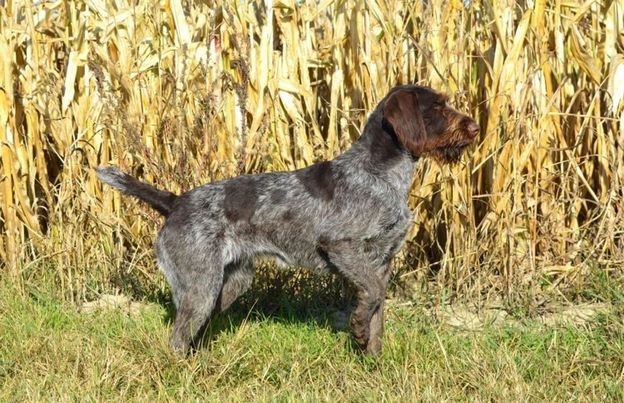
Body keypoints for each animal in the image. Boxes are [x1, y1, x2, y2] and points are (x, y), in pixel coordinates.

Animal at [96, 83, 478, 356]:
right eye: (438, 107)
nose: (475, 126)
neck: (381, 174)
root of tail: (176, 202)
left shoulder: (383, 261)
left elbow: (378, 309)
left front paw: (372, 358)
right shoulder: (341, 246)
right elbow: (370, 294)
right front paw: (357, 328)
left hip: (230, 282)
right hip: (200, 284)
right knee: (178, 337)